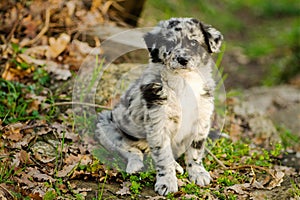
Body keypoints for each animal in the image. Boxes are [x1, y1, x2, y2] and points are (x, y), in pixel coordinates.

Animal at [95, 17, 224, 195]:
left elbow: (195, 150)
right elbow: (163, 156)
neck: (184, 81)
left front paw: (198, 173)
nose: (183, 60)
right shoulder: (158, 122)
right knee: (130, 150)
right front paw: (166, 183)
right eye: (169, 44)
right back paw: (135, 165)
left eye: (193, 42)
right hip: (106, 128)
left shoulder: (201, 120)